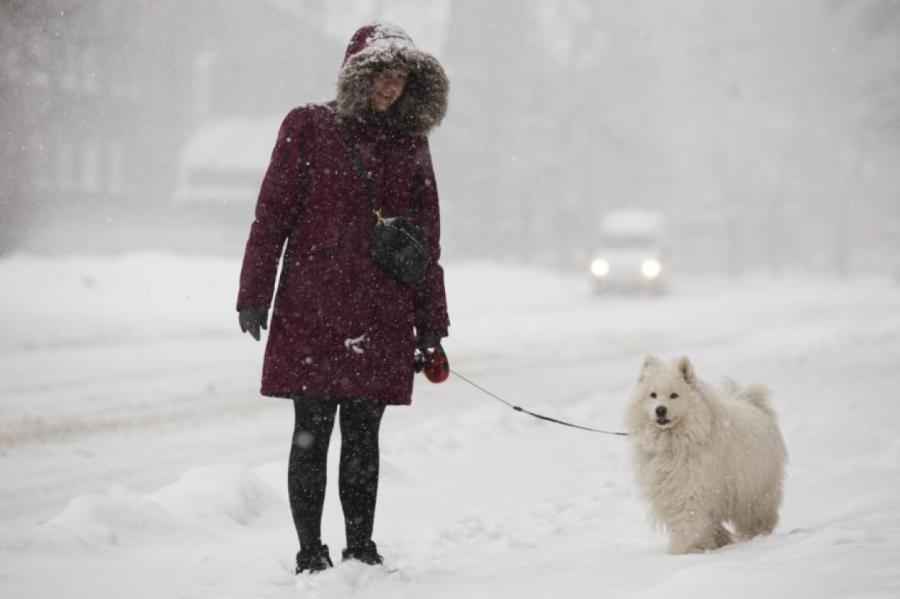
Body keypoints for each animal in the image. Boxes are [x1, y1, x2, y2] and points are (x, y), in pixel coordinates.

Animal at [624, 354, 788, 556]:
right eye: (652, 395)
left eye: (674, 395)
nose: (660, 409)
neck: (674, 444)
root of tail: (750, 402)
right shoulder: (669, 489)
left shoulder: (691, 487)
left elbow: (689, 520)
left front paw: (683, 550)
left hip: (756, 491)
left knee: (757, 516)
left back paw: (756, 536)